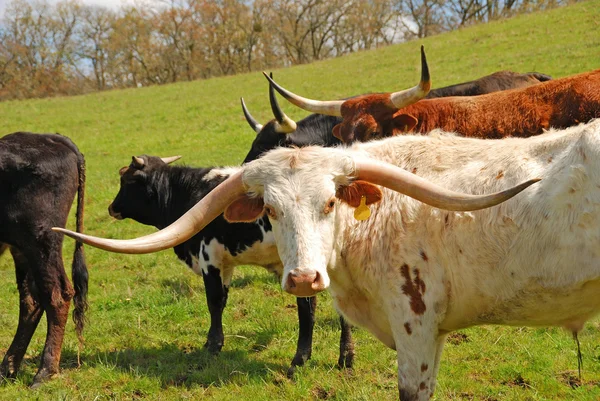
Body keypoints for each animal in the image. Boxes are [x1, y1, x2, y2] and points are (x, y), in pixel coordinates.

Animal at [0, 132, 88, 388]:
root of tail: (51, 138)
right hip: (22, 247)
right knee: (31, 299)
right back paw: (8, 368)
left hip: (41, 240)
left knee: (57, 295)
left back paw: (45, 371)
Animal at [108, 155, 354, 374]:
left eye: (126, 180)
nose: (111, 207)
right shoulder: (225, 264)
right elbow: (223, 300)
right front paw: (211, 342)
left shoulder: (209, 258)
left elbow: (214, 302)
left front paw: (213, 346)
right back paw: (345, 357)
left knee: (308, 307)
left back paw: (303, 358)